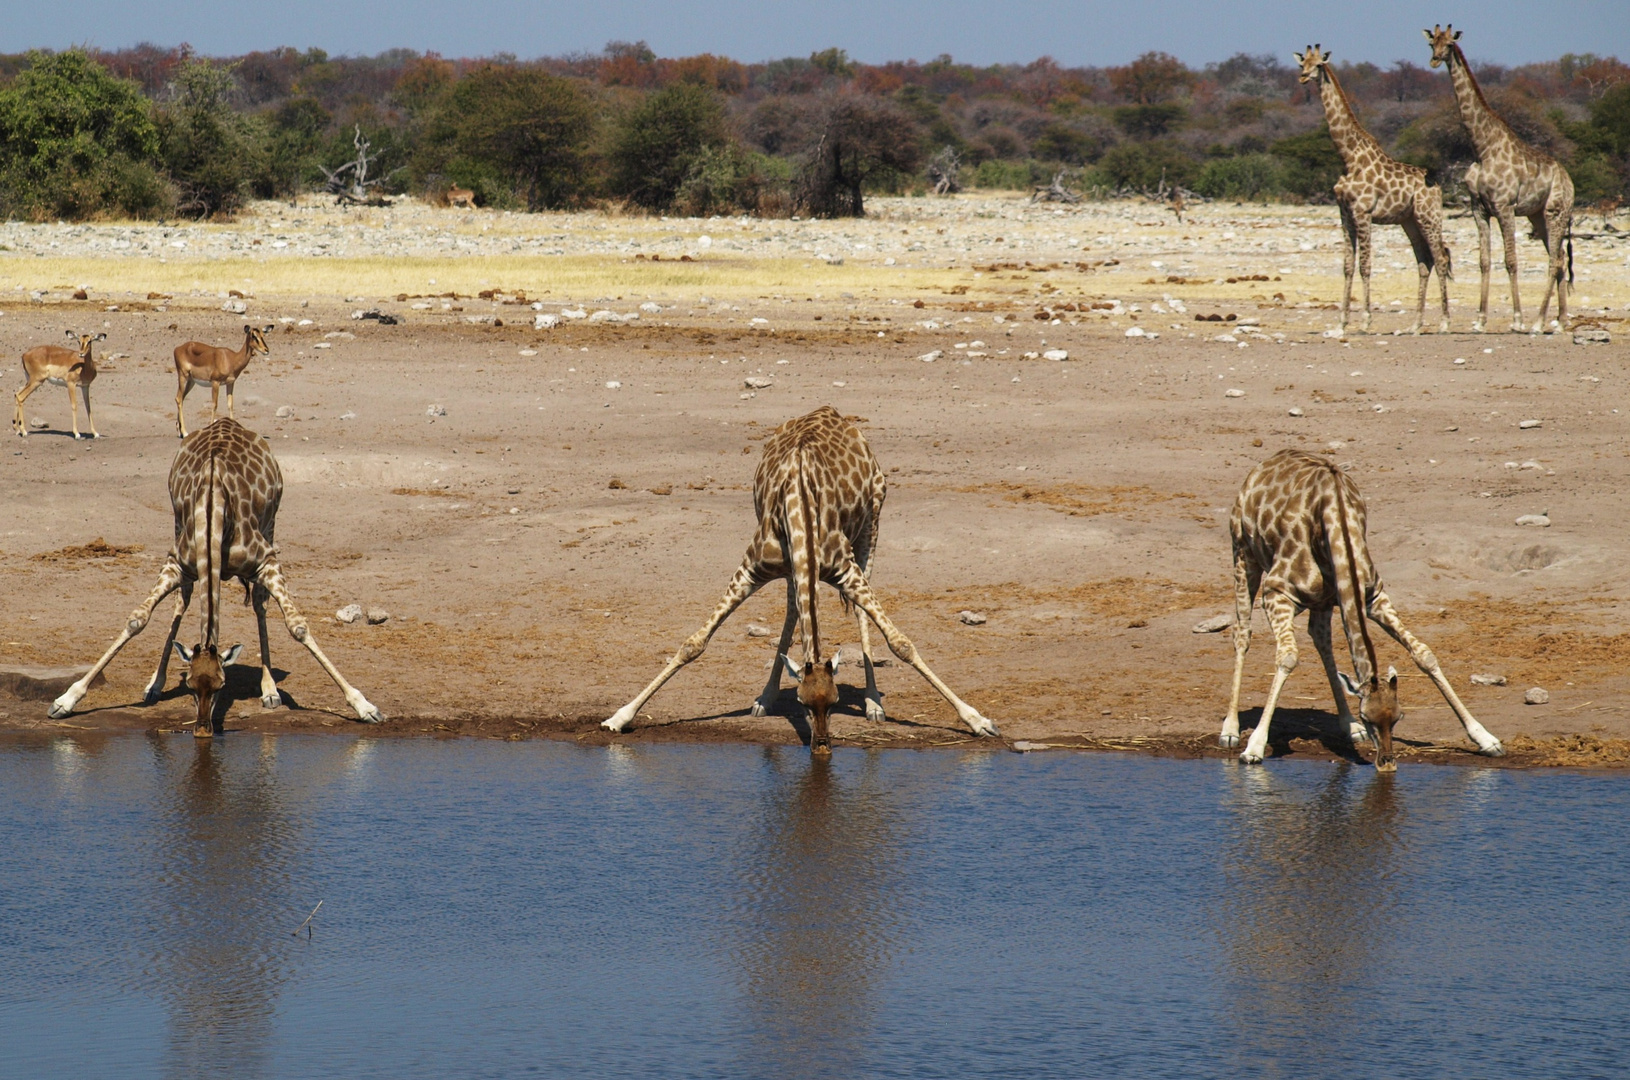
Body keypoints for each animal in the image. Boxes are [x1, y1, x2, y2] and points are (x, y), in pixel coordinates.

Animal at [48, 415, 384, 736]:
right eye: (189, 685)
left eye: (222, 686)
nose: (202, 731)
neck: (213, 511)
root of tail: (227, 421)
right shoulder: (177, 563)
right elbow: (137, 620)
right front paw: (65, 700)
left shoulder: (267, 562)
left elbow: (298, 627)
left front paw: (365, 706)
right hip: (177, 527)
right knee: (181, 603)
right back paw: (154, 684)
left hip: (271, 524)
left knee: (260, 605)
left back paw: (269, 690)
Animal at [606, 405, 997, 752]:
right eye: (803, 703)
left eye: (834, 700)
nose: (822, 747)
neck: (799, 509)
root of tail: (831, 411)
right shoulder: (752, 568)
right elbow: (694, 644)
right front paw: (618, 717)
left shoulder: (846, 569)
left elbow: (901, 643)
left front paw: (978, 720)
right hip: (797, 564)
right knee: (793, 608)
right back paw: (765, 698)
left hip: (872, 522)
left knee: (856, 610)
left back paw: (873, 703)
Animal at [1225, 446, 1499, 768]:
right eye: (1367, 717)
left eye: (1398, 717)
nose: (1387, 763)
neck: (1335, 520)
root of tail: (1263, 465)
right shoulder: (1277, 592)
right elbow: (1288, 658)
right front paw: (1254, 747)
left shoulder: (1372, 596)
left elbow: (1424, 654)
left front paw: (1486, 738)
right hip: (1243, 553)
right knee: (1242, 632)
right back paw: (1229, 730)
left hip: (1324, 600)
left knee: (1321, 638)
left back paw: (1347, 726)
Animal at [1297, 45, 1453, 333]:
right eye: (1303, 63)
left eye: (1319, 64)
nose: (1303, 77)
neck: (1348, 157)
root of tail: (1438, 185)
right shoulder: (1344, 214)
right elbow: (1348, 266)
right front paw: (1342, 320)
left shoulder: (1363, 212)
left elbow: (1365, 265)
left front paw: (1366, 320)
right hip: (1410, 221)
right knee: (1424, 261)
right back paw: (1416, 324)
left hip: (1430, 217)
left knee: (1440, 259)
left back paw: (1445, 322)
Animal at [1421, 23, 1571, 332]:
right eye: (1432, 44)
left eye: (1450, 44)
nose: (1434, 60)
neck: (1482, 148)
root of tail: (1572, 183)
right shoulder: (1479, 208)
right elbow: (1484, 261)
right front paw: (1480, 320)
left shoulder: (1504, 206)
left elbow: (1510, 260)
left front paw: (1517, 319)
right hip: (1538, 215)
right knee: (1560, 257)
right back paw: (1561, 320)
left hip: (1556, 212)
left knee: (1554, 261)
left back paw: (1538, 321)